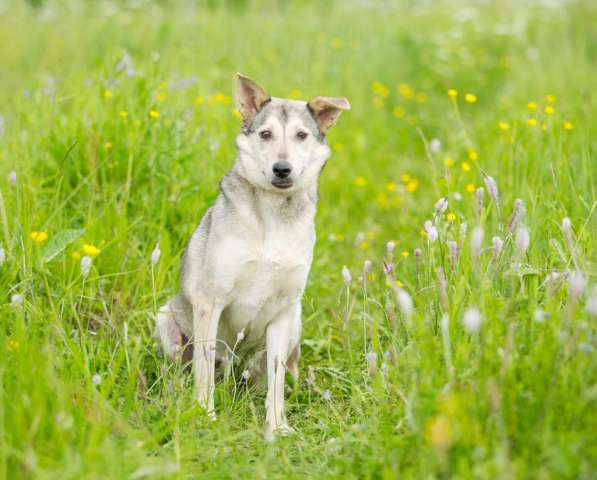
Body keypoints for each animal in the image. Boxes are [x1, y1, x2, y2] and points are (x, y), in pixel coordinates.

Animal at [155, 72, 350, 438]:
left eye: (301, 135)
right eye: (265, 134)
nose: (282, 168)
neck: (274, 215)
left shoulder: (283, 310)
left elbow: (275, 379)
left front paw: (277, 427)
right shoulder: (211, 301)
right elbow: (203, 370)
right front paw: (205, 416)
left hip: (294, 323)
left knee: (278, 373)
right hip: (166, 320)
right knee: (184, 371)